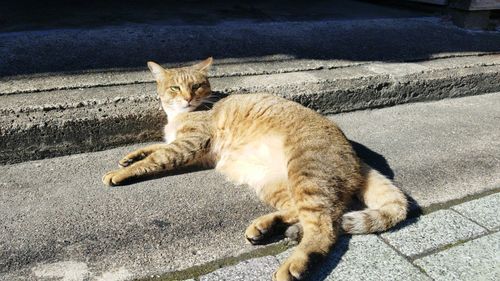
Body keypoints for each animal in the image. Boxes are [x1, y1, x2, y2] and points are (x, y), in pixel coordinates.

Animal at [101, 57, 406, 280]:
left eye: (197, 86)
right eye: (175, 88)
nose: (187, 98)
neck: (180, 115)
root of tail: (356, 155)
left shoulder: (189, 145)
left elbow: (156, 158)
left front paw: (121, 172)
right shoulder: (188, 149)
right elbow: (154, 148)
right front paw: (128, 157)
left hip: (306, 174)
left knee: (324, 228)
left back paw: (294, 265)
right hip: (273, 183)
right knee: (303, 211)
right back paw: (264, 227)